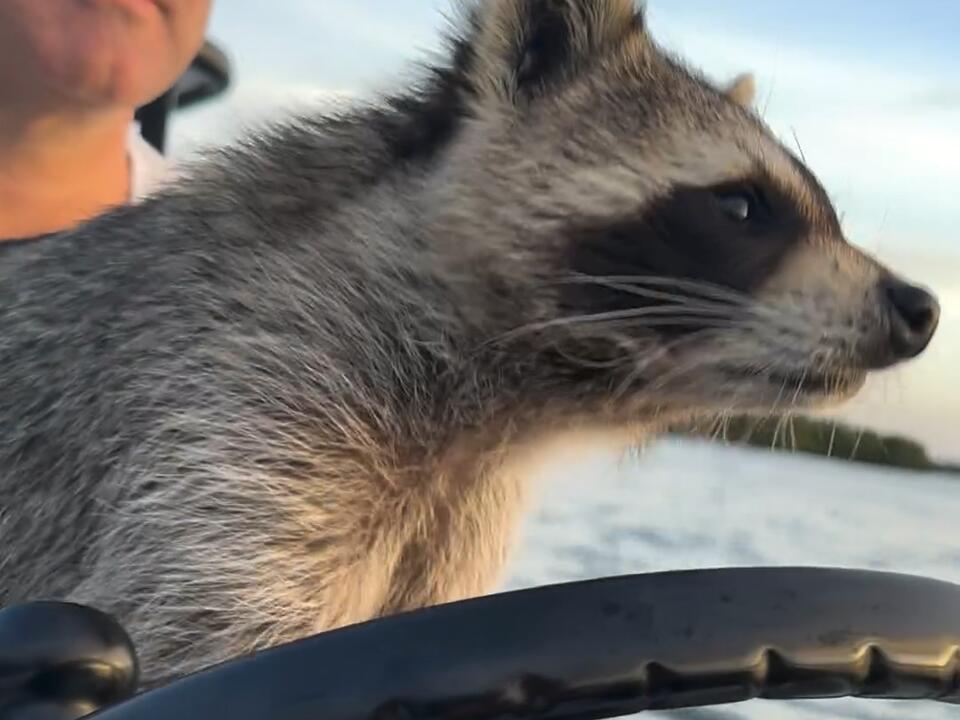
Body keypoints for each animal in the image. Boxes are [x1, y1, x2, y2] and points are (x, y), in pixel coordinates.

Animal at [0, 0, 938, 686]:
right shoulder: (233, 390)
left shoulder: (450, 509)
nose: (919, 307)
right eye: (742, 206)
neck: (492, 414)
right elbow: (196, 625)